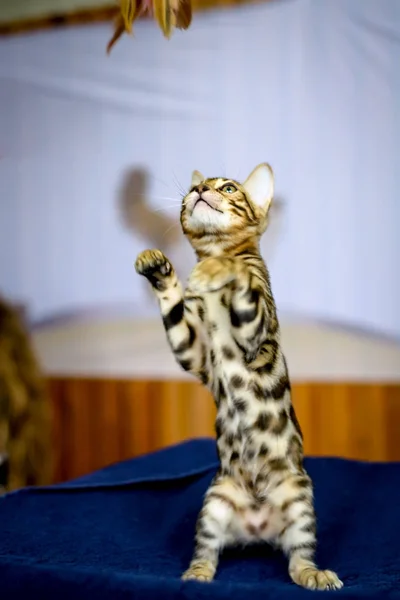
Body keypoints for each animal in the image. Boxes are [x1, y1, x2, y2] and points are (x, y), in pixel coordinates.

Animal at [136, 163, 342, 592]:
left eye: (228, 188)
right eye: (193, 189)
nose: (198, 190)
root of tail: (258, 529)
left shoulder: (257, 344)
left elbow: (240, 278)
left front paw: (218, 269)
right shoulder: (196, 354)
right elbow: (176, 310)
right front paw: (158, 266)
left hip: (300, 501)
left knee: (298, 558)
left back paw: (315, 574)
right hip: (214, 504)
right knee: (207, 551)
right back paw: (196, 575)